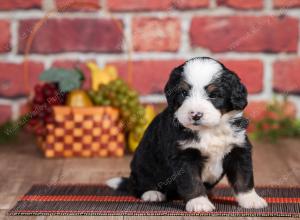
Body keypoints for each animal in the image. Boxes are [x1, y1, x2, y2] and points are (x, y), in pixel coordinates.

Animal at [107, 56, 268, 211]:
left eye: (214, 95)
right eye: (184, 93)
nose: (196, 115)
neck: (209, 130)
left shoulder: (238, 149)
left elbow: (243, 177)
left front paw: (251, 200)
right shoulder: (184, 156)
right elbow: (192, 182)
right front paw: (199, 203)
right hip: (142, 164)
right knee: (137, 184)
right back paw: (152, 193)